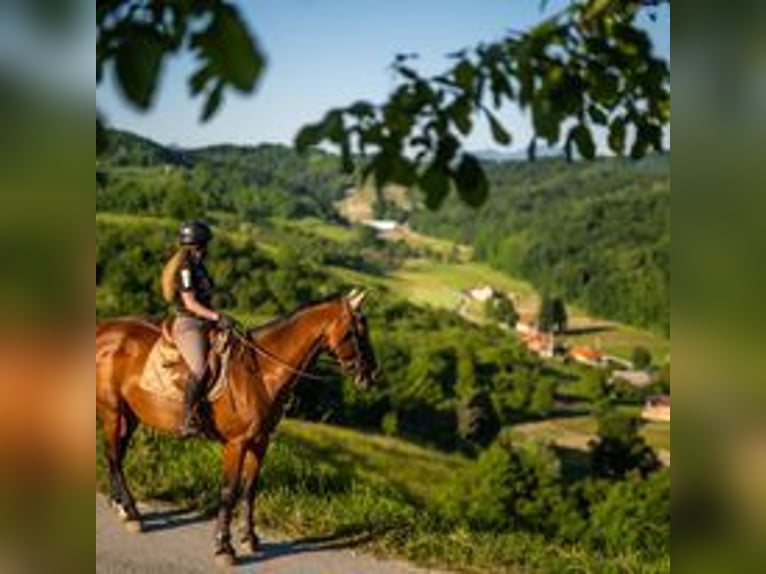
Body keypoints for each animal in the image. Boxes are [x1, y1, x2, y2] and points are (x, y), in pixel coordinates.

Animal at [96, 292, 378, 568]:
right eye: (355, 331)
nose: (371, 374)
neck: (261, 373)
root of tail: (103, 330)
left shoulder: (261, 441)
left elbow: (250, 489)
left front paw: (249, 538)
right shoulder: (236, 444)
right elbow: (229, 492)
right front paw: (224, 547)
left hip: (129, 415)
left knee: (116, 456)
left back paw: (121, 507)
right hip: (112, 411)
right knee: (114, 457)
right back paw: (132, 513)